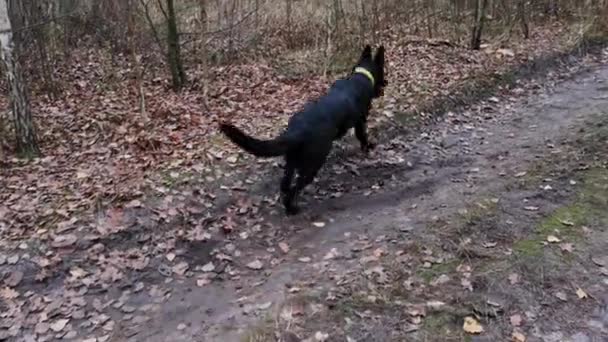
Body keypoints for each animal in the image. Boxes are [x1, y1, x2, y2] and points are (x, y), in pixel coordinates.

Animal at [221, 44, 388, 214]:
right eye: (383, 70)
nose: (386, 83)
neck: (360, 77)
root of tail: (296, 131)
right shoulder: (361, 121)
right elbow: (363, 136)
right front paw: (368, 147)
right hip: (313, 164)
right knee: (295, 188)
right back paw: (292, 209)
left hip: (291, 161)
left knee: (285, 185)